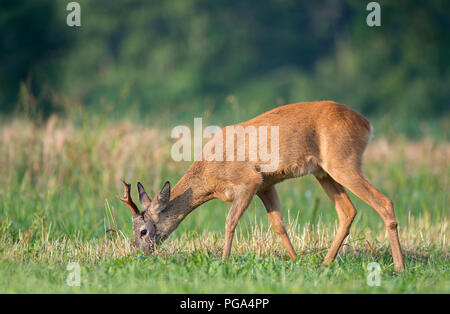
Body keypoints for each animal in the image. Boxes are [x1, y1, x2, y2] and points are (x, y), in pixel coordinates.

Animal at [118, 101, 406, 272]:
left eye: (143, 231)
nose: (141, 254)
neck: (210, 177)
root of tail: (367, 124)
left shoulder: (249, 180)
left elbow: (230, 221)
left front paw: (224, 261)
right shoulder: (266, 184)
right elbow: (279, 224)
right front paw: (295, 260)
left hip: (343, 161)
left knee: (384, 202)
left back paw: (400, 267)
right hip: (324, 172)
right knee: (348, 211)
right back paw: (325, 262)